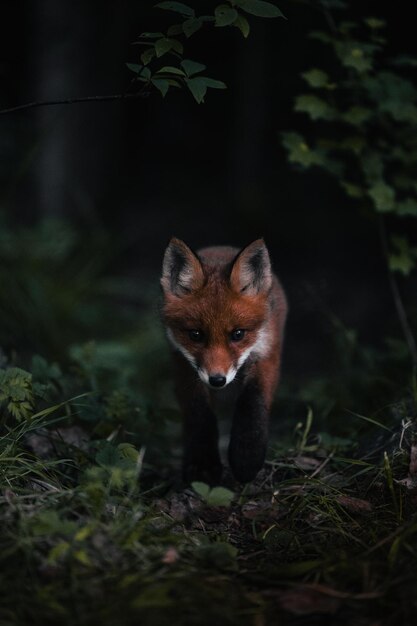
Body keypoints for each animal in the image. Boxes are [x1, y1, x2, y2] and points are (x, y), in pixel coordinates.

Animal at [159, 236, 286, 486]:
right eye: (195, 335)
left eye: (238, 334)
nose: (217, 380)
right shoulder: (182, 362)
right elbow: (199, 412)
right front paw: (202, 465)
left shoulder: (267, 353)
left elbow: (253, 401)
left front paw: (247, 456)